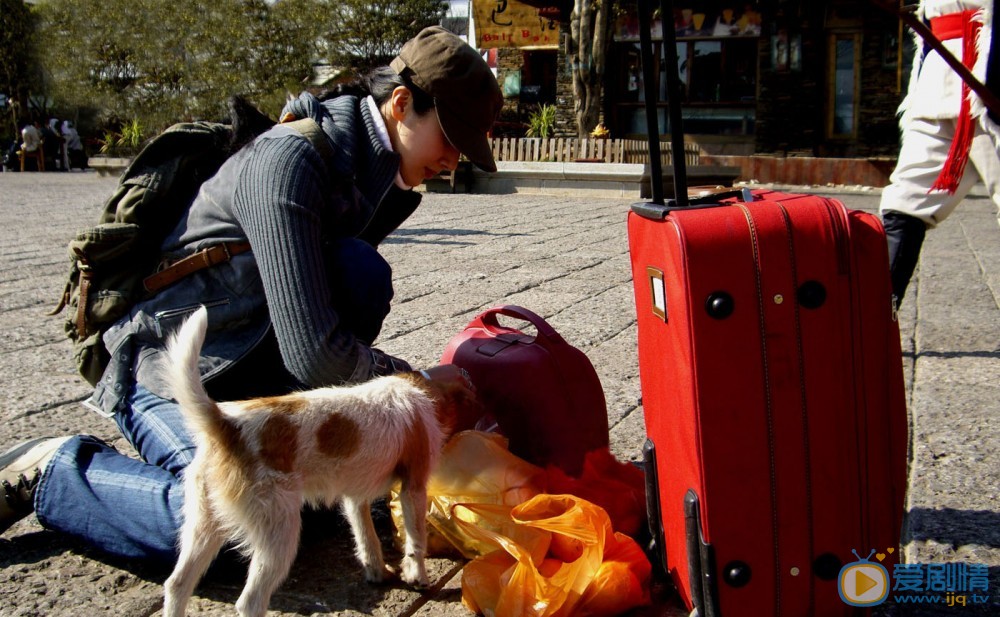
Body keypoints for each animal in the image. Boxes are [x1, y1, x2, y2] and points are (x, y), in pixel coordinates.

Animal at [162, 306, 470, 616]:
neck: (420, 388)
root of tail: (225, 423)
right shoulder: (414, 487)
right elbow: (416, 537)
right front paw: (417, 575)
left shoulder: (354, 498)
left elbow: (366, 537)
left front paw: (377, 571)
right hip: (278, 531)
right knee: (250, 601)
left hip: (203, 524)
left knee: (177, 583)